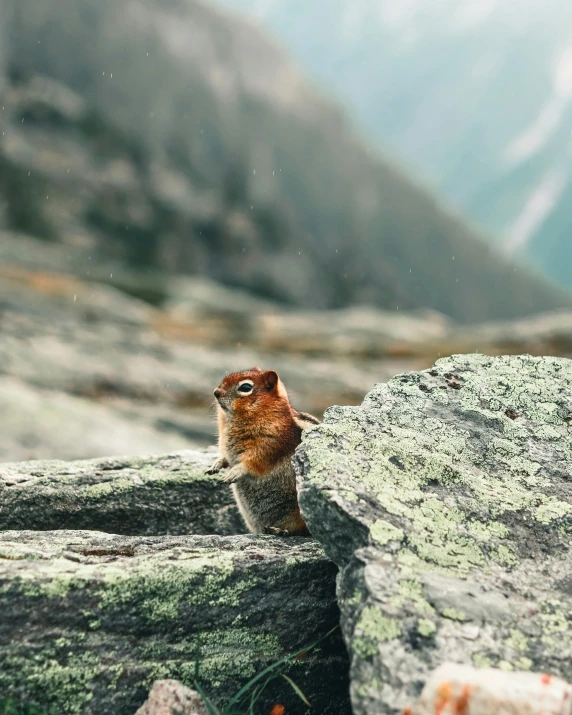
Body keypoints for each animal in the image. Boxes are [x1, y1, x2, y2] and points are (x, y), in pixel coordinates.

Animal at [206, 370, 322, 536]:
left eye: (245, 387)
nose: (216, 392)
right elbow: (225, 458)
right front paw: (216, 464)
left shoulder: (269, 447)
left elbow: (253, 463)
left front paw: (234, 472)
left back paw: (279, 530)